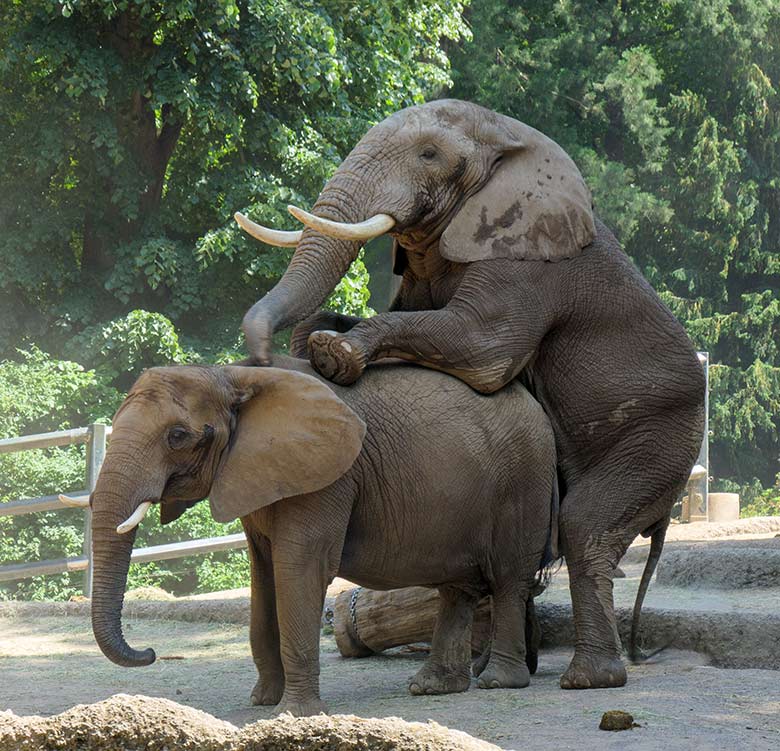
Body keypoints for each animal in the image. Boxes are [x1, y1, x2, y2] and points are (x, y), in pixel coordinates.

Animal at [88, 356, 556, 716]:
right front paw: (263, 702)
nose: (150, 653)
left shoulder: (330, 478)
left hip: (524, 478)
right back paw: (433, 687)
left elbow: (301, 569)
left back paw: (498, 681)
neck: (233, 376)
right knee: (459, 589)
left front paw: (293, 714)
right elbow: (264, 576)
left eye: (178, 436)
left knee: (509, 579)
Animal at [235, 97, 704, 692]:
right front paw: (319, 337)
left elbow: (482, 350)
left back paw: (586, 679)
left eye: (430, 155)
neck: (509, 138)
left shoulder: (525, 263)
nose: (260, 356)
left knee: (585, 526)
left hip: (661, 436)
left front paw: (334, 354)